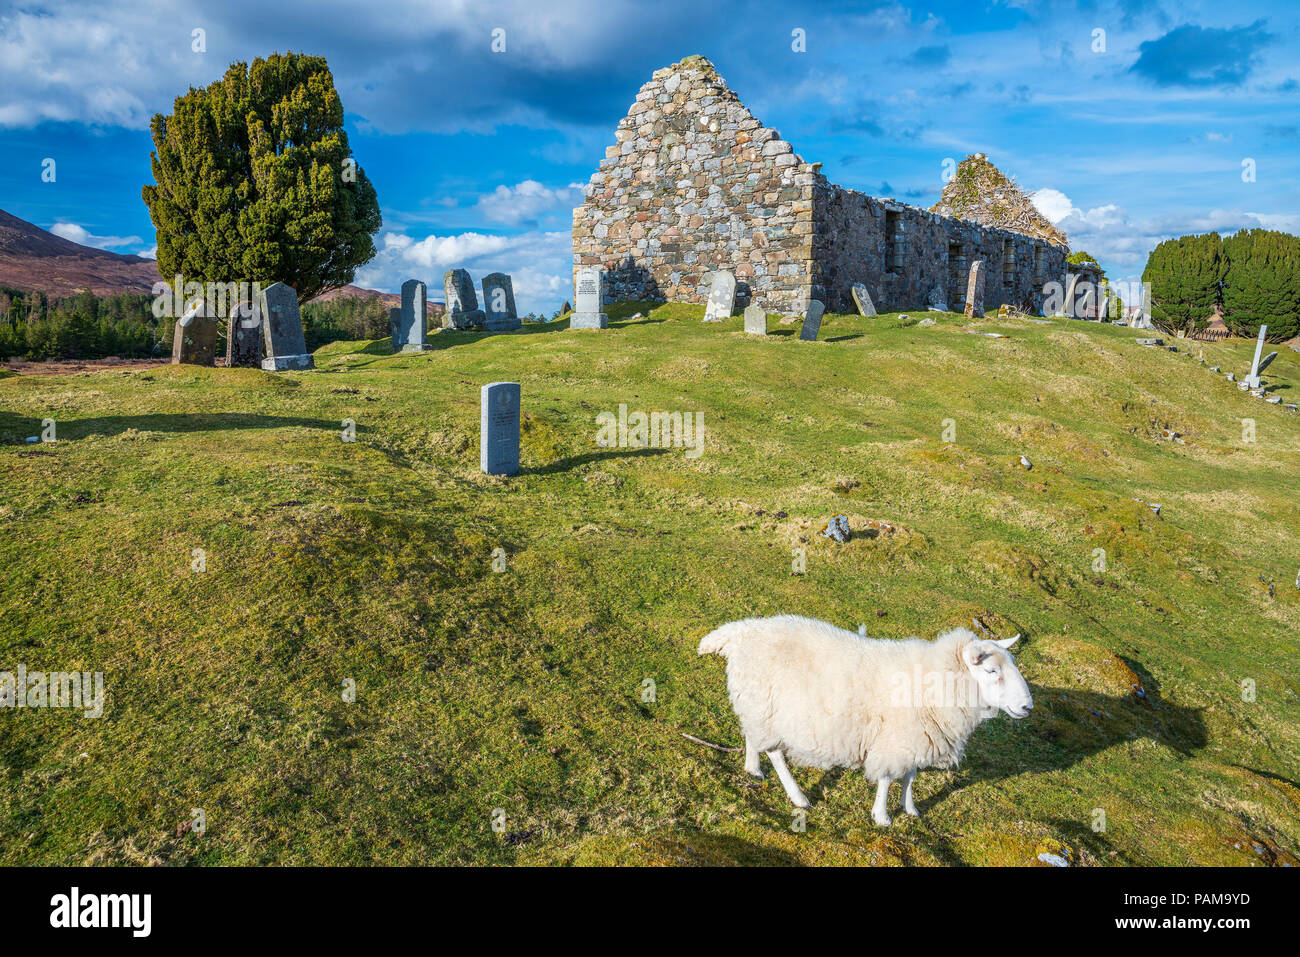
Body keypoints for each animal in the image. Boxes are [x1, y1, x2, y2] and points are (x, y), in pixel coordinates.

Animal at [702, 616, 1034, 826]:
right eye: (992, 671)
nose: (1027, 707)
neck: (934, 682)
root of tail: (740, 631)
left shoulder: (915, 737)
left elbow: (910, 775)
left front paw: (910, 808)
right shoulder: (895, 740)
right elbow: (888, 779)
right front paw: (882, 817)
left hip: (758, 704)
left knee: (752, 735)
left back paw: (753, 768)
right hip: (768, 707)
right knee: (774, 751)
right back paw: (798, 796)